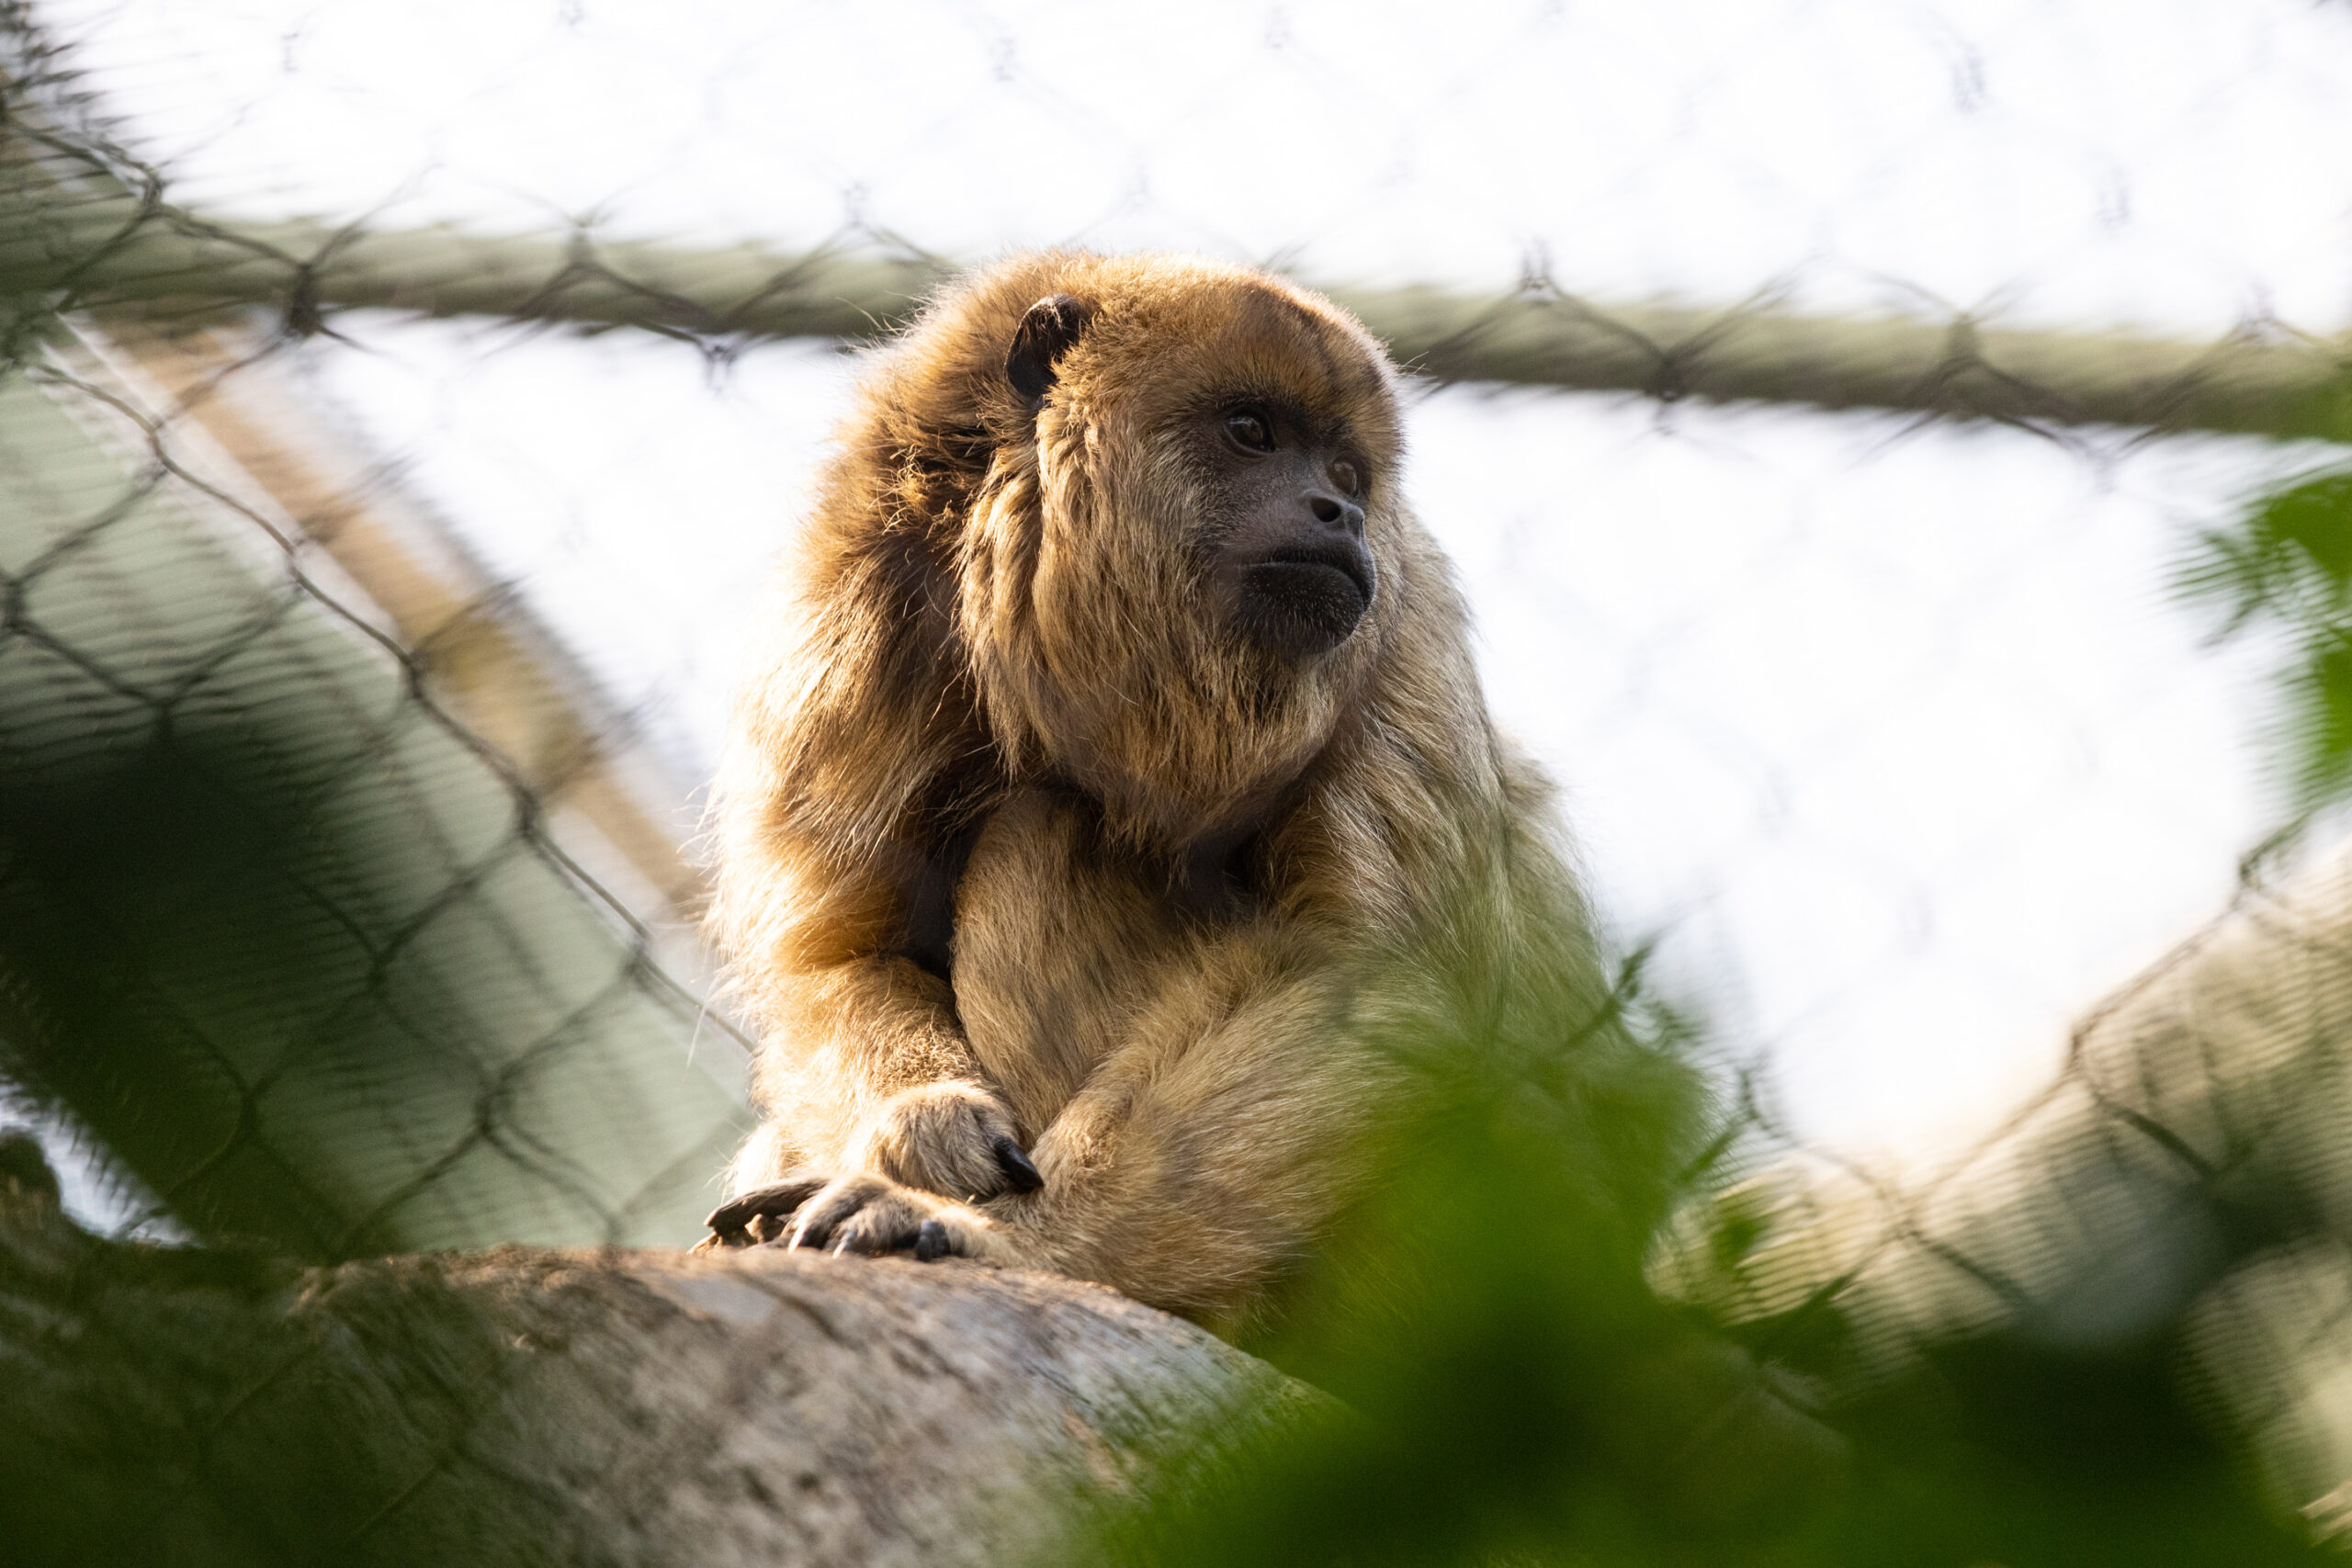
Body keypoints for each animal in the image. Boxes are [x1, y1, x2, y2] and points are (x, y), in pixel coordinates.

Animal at [700, 252, 1606, 1332]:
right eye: (1252, 431)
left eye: (1348, 475)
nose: (1340, 512)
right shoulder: (855, 607)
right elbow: (839, 955)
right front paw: (922, 1127)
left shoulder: (1404, 614)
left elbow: (1381, 987)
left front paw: (996, 1237)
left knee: (1044, 834)